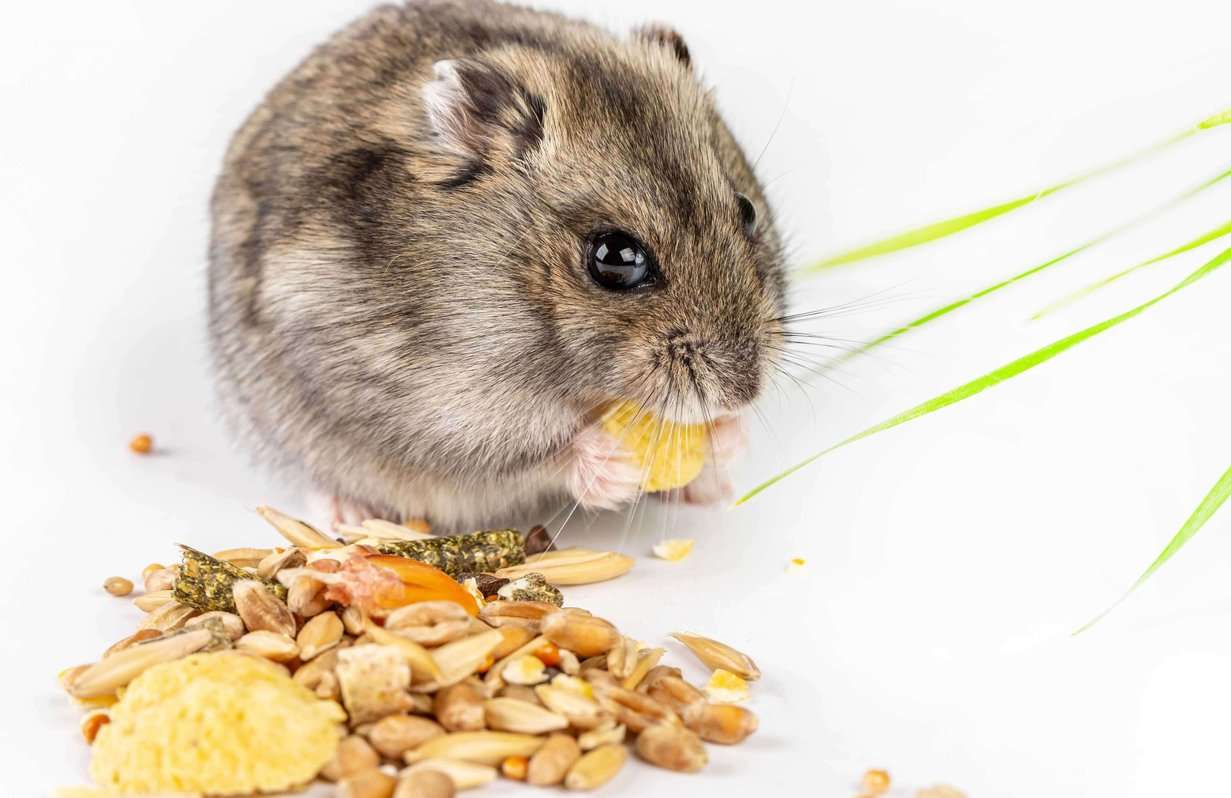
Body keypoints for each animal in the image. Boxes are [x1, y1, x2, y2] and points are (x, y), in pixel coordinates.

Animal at [208, 0, 788, 531]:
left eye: (747, 211)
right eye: (614, 258)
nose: (744, 392)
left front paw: (727, 439)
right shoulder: (445, 414)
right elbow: (534, 454)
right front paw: (611, 463)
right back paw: (348, 517)